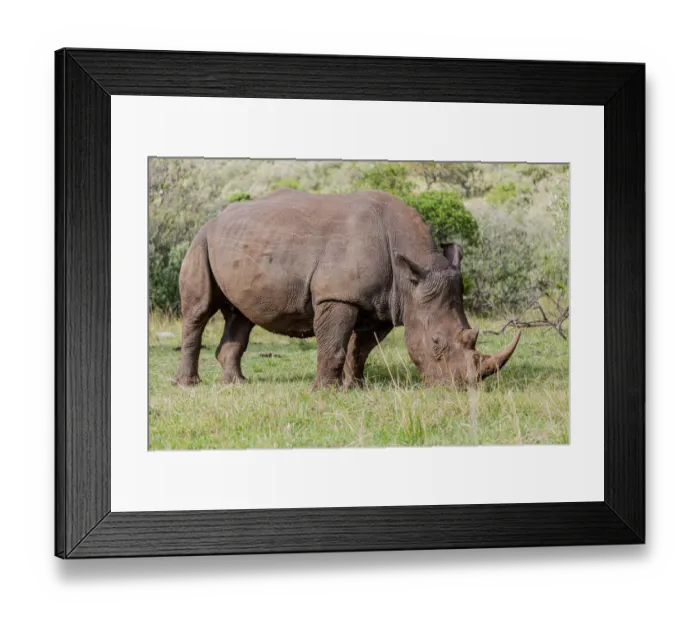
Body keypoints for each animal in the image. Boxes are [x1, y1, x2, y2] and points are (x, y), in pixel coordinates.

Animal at [173, 188, 520, 389]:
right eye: (436, 342)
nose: (461, 387)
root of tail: (215, 219)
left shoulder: (384, 304)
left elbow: (360, 348)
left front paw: (355, 387)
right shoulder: (338, 296)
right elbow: (334, 345)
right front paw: (324, 392)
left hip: (243, 242)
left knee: (242, 316)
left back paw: (236, 384)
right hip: (201, 241)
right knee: (199, 311)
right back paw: (187, 385)